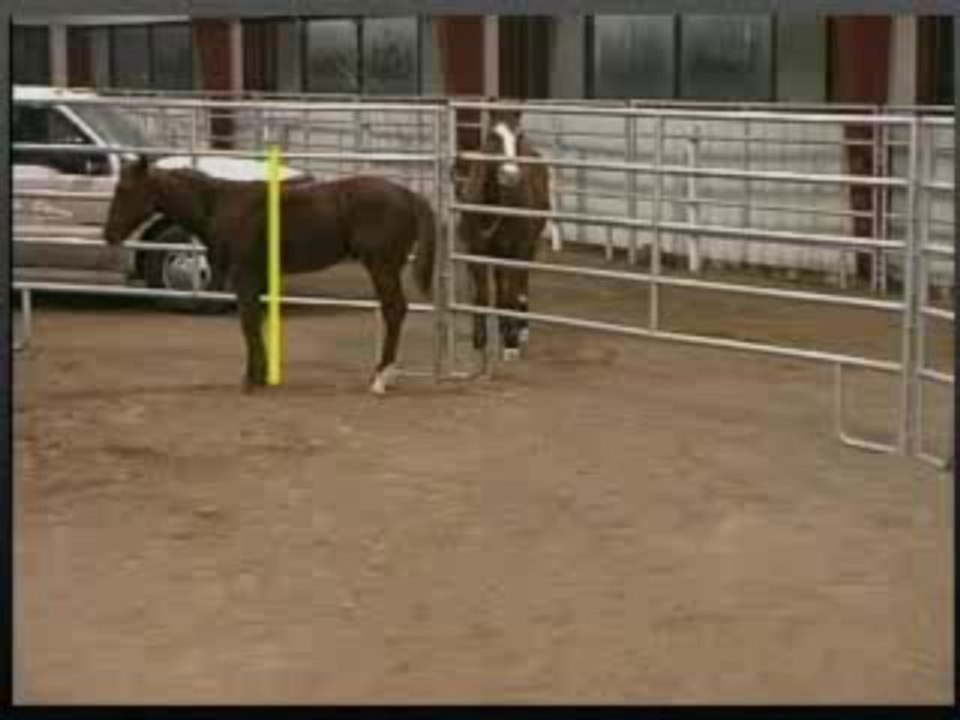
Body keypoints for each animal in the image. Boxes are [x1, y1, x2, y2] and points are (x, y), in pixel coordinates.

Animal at [103, 156, 437, 395]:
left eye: (125, 190)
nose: (109, 235)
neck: (220, 205)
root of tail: (408, 195)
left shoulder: (244, 275)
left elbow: (248, 323)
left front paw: (250, 380)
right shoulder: (259, 277)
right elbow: (256, 322)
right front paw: (261, 375)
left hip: (381, 265)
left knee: (394, 310)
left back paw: (380, 379)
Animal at [455, 107, 551, 360]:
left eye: (518, 136)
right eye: (493, 136)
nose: (510, 175)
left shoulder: (517, 250)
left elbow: (511, 294)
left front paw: (511, 344)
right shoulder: (476, 252)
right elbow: (482, 296)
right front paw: (480, 340)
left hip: (527, 247)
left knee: (520, 284)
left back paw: (520, 327)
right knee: (500, 285)